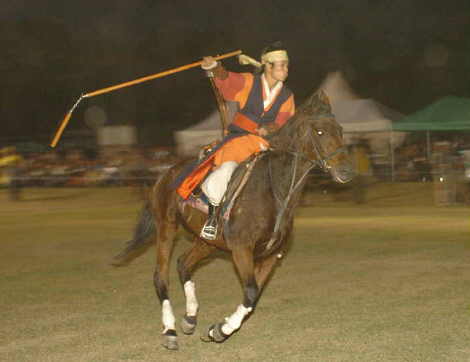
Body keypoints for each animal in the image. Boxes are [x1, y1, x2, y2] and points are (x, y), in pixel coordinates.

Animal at [113, 89, 352, 350]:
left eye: (340, 130)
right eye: (319, 131)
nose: (346, 172)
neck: (274, 191)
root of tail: (165, 173)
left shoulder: (270, 256)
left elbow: (252, 297)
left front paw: (219, 328)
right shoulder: (241, 249)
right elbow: (251, 291)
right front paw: (221, 330)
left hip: (207, 242)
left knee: (183, 263)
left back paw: (190, 317)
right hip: (166, 227)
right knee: (160, 276)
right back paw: (170, 330)